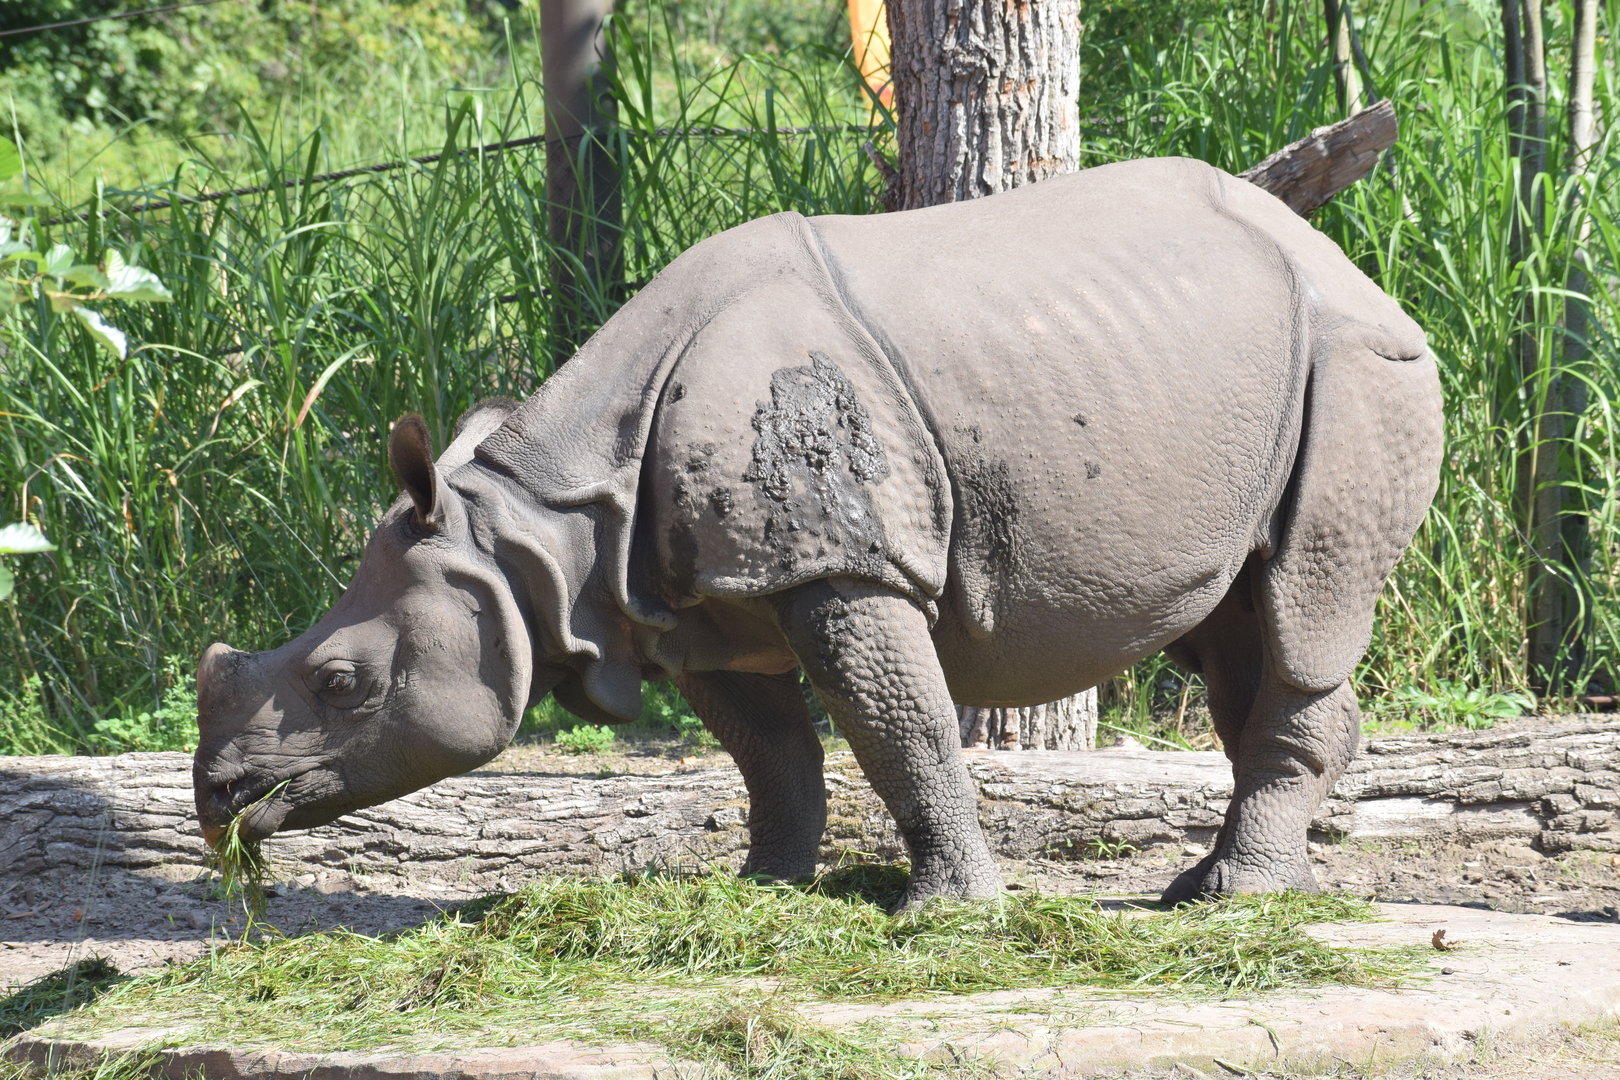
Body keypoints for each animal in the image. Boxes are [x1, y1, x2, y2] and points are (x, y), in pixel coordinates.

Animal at [194, 157, 1443, 909]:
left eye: (343, 683)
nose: (219, 803)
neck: (536, 530)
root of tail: (1347, 265)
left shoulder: (843, 567)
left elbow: (902, 728)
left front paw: (949, 913)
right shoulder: (688, 598)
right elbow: (771, 752)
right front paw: (762, 888)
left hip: (1359, 364)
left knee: (1303, 611)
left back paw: (1234, 898)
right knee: (1233, 625)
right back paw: (1219, 885)